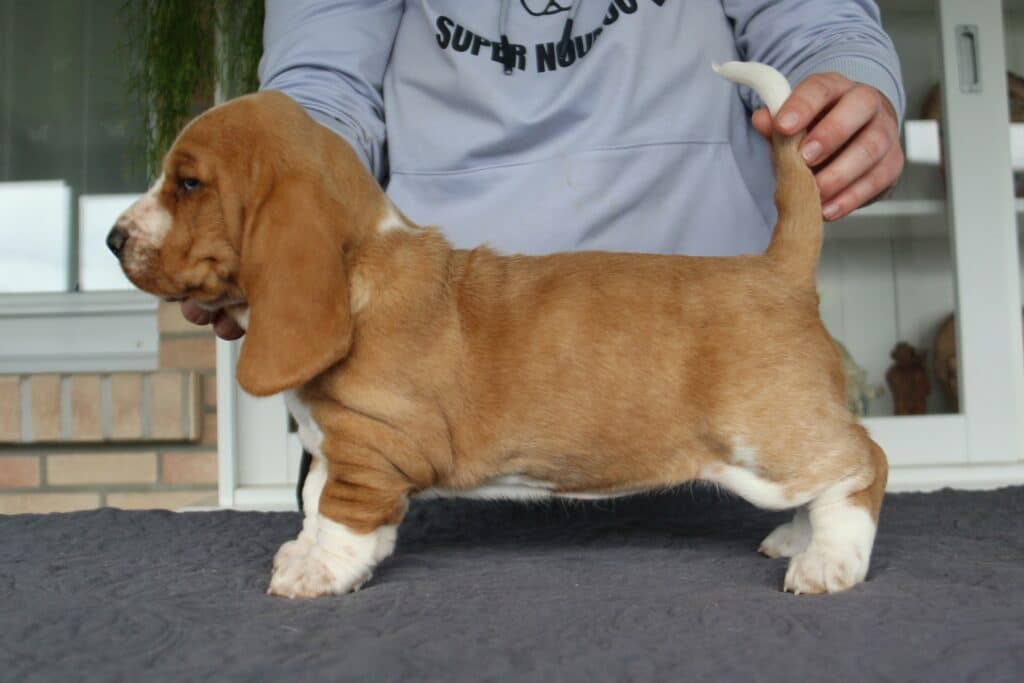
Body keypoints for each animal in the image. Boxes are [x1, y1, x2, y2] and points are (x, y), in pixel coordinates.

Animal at [108, 61, 887, 598]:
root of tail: (780, 270)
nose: (113, 239)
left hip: (762, 437)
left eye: (187, 184)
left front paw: (318, 572)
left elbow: (341, 513)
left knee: (861, 464)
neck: (362, 264)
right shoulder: (333, 444)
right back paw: (797, 539)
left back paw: (829, 559)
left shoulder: (369, 450)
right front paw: (305, 553)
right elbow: (312, 503)